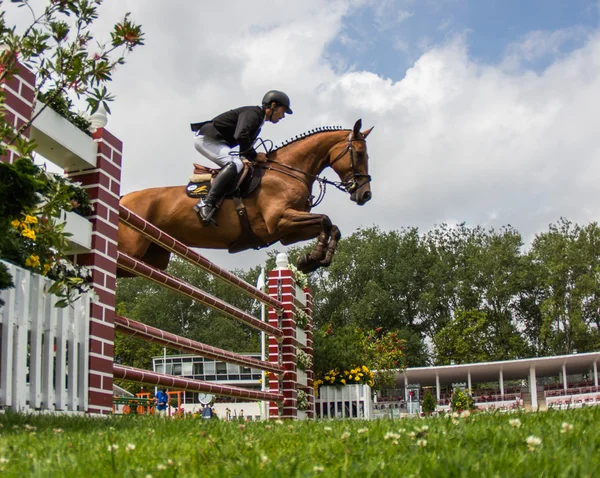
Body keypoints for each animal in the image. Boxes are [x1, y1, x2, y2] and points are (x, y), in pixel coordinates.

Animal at [116, 118, 370, 276]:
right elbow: (325, 219)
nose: (365, 194)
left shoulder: (286, 233)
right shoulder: (279, 220)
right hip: (130, 248)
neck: (289, 170)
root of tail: (122, 199)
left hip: (152, 258)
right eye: (359, 154)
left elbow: (330, 226)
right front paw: (315, 256)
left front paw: (313, 260)